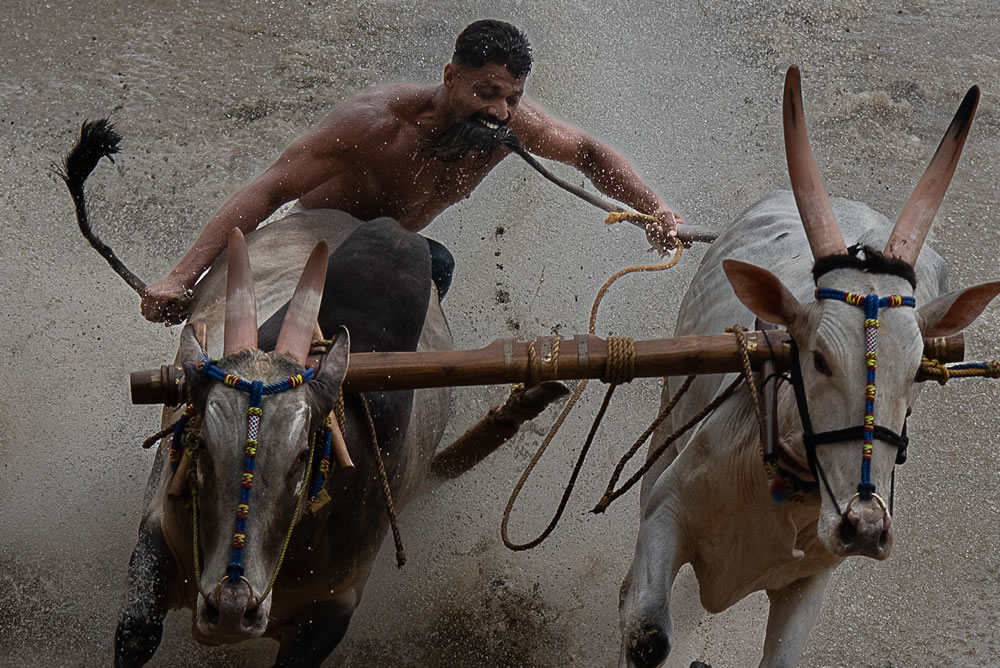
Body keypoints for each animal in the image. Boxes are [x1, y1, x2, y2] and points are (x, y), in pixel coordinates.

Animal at [616, 65, 1000, 664]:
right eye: (817, 357)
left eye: (918, 370)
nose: (864, 526)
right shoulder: (665, 515)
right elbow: (648, 635)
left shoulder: (810, 582)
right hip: (664, 428)